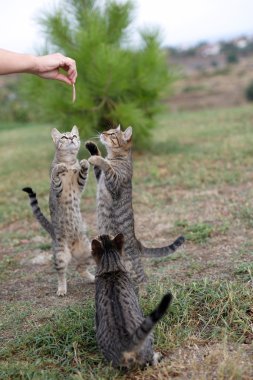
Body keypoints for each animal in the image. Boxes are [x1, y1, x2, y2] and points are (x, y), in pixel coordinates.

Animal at [22, 126, 94, 296]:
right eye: (64, 137)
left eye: (74, 135)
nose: (72, 139)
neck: (68, 162)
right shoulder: (57, 190)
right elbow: (55, 175)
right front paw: (59, 167)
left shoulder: (79, 185)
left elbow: (82, 173)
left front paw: (84, 163)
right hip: (60, 255)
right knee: (62, 274)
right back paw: (61, 289)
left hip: (89, 249)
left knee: (80, 268)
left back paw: (92, 278)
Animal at [86, 126, 185, 286]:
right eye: (108, 130)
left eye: (112, 134)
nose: (103, 133)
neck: (115, 157)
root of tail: (138, 244)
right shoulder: (100, 177)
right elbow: (99, 165)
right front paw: (91, 147)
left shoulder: (114, 182)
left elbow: (106, 165)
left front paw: (96, 158)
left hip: (131, 265)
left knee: (141, 277)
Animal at [91, 233, 172, 370]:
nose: (102, 234)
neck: (111, 269)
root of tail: (126, 343)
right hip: (149, 335)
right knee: (150, 361)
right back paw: (157, 356)